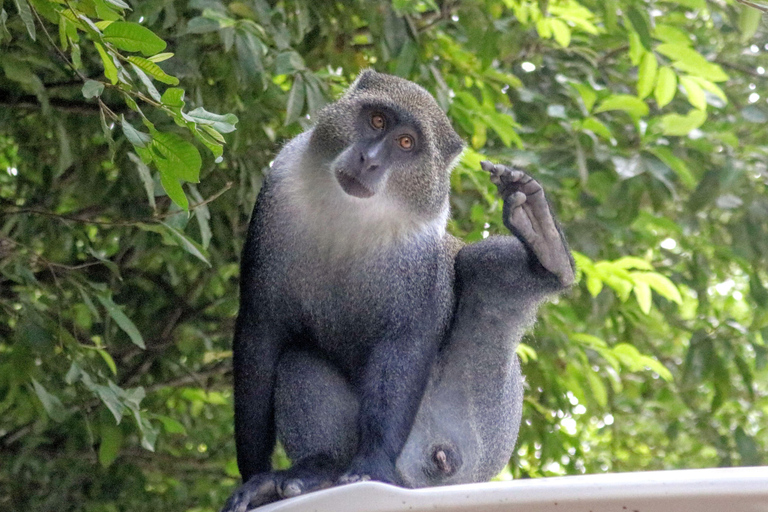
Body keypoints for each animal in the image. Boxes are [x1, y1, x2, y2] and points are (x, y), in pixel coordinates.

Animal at [222, 70, 574, 512]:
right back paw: (315, 469)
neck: (350, 214)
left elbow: (405, 342)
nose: (369, 159)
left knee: (480, 271)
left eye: (407, 143)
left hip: (477, 431)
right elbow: (261, 334)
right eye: (377, 120)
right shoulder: (278, 193)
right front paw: (253, 479)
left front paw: (371, 467)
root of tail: (416, 473)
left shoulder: (417, 252)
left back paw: (546, 249)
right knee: (297, 358)